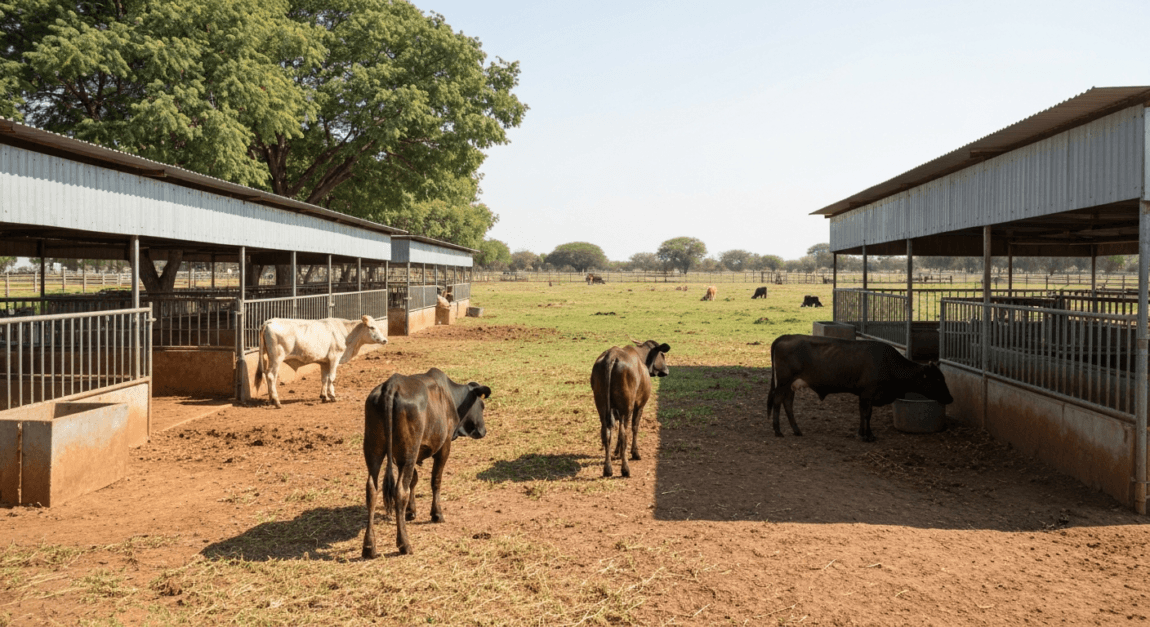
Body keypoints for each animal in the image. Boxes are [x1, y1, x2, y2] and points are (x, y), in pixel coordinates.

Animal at [255, 315, 389, 408]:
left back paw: (271, 399)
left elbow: (324, 378)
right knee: (271, 376)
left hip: (268, 357)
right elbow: (332, 377)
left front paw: (324, 396)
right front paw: (333, 396)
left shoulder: (324, 362)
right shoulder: (334, 357)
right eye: (372, 327)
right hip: (277, 358)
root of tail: (269, 321)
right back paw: (277, 402)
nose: (384, 340)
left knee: (267, 375)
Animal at [361, 368, 491, 557]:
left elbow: (413, 481)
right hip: (409, 450)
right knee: (400, 491)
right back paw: (404, 544)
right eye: (481, 406)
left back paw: (369, 546)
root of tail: (391, 386)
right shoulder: (444, 446)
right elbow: (435, 480)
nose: (483, 431)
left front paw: (411, 511)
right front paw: (436, 514)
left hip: (375, 450)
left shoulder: (403, 458)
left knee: (372, 489)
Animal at [590, 340, 671, 477]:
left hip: (601, 405)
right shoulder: (639, 405)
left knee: (606, 433)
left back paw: (608, 469)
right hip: (626, 408)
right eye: (662, 355)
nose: (667, 370)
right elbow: (635, 427)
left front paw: (616, 452)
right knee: (624, 434)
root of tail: (611, 356)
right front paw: (635, 452)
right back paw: (625, 469)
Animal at [767, 334, 953, 442]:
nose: (950, 398)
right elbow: (867, 414)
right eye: (938, 379)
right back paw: (777, 430)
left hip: (790, 384)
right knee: (777, 401)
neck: (888, 363)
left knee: (788, 403)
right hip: (783, 381)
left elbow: (862, 413)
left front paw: (862, 432)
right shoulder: (868, 393)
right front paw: (867, 435)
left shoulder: (864, 395)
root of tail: (786, 337)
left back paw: (796, 430)